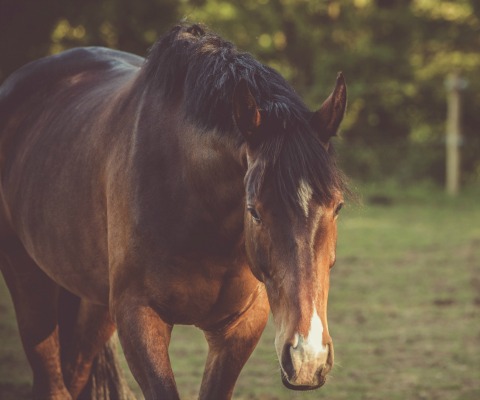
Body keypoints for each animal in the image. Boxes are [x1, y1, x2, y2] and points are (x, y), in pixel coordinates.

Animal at [0, 25, 346, 400]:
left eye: (338, 206)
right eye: (254, 211)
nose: (307, 358)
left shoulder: (240, 326)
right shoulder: (139, 319)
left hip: (94, 306)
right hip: (28, 280)